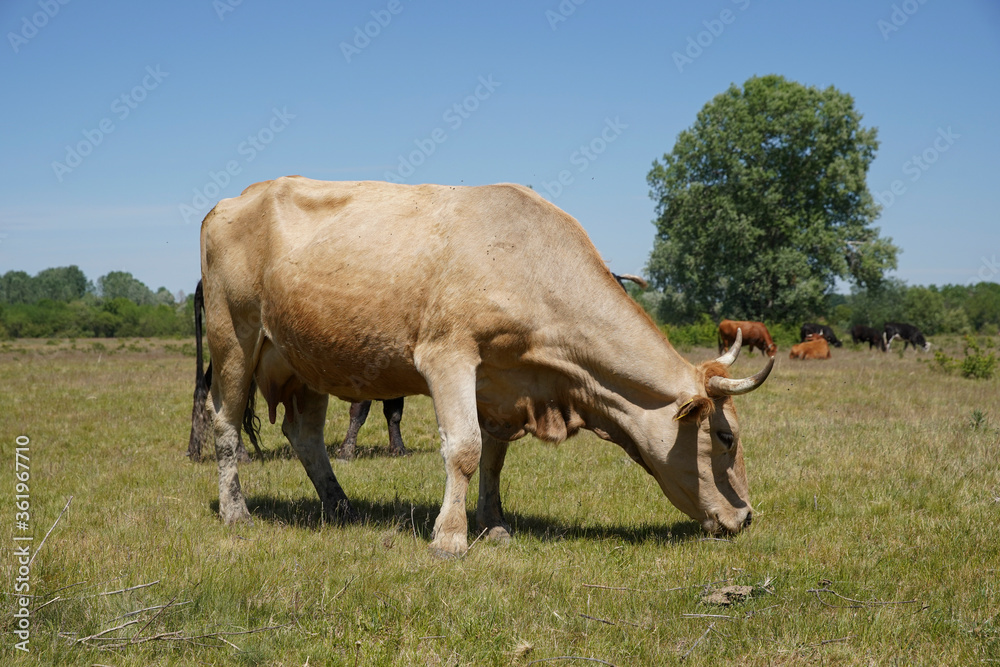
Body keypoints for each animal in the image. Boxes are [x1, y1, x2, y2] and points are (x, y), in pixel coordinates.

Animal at [198, 177, 774, 557]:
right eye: (726, 437)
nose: (746, 517)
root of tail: (232, 199)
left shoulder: (503, 384)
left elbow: (494, 458)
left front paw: (492, 523)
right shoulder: (447, 356)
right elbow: (466, 448)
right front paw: (450, 536)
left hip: (305, 359)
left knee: (305, 434)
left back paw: (340, 505)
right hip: (234, 339)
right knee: (224, 425)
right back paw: (236, 512)